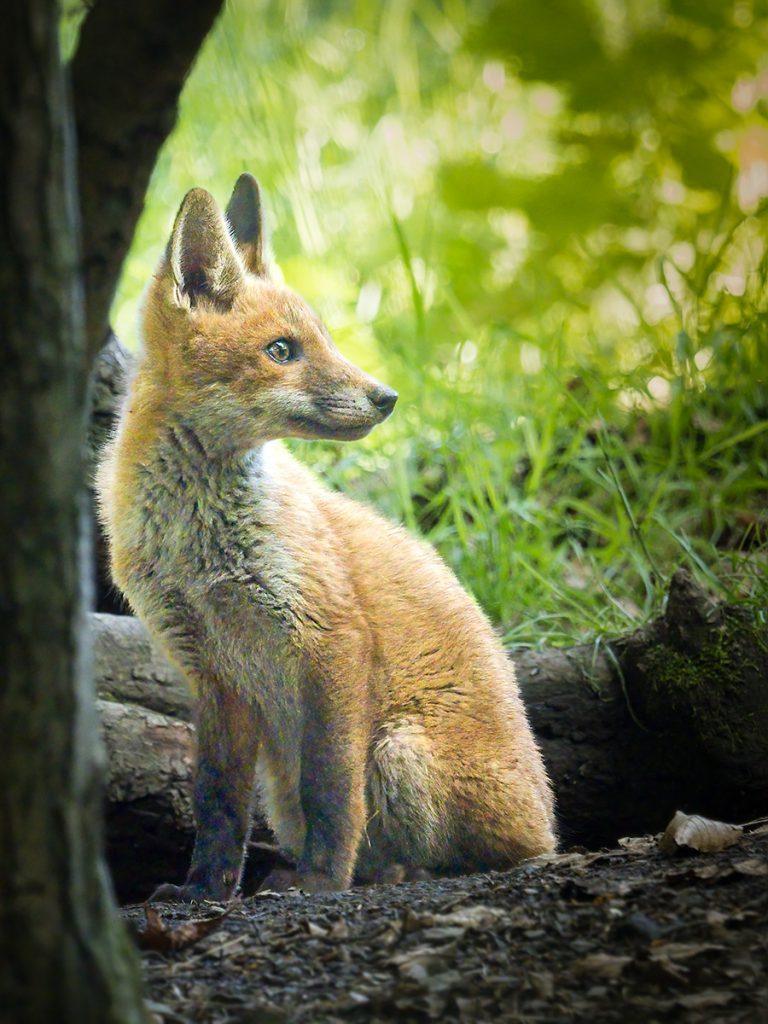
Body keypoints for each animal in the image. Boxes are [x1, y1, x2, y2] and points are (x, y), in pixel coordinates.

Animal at [96, 173, 556, 900]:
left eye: (324, 340)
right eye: (282, 350)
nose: (386, 397)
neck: (198, 547)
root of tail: (549, 819)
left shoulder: (329, 638)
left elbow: (333, 792)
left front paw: (321, 881)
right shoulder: (211, 675)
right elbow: (216, 803)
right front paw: (204, 891)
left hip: (399, 753)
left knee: (495, 855)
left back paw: (398, 873)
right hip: (284, 791)